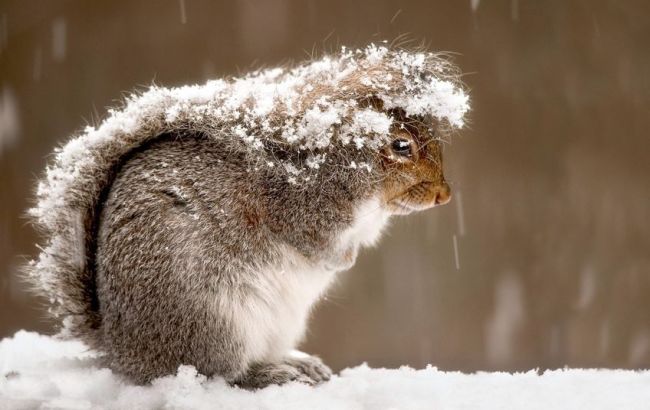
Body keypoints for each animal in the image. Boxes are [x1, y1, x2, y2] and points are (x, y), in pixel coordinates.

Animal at [25, 44, 468, 388]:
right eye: (401, 145)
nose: (445, 195)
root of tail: (123, 351)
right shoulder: (300, 210)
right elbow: (315, 244)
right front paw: (341, 261)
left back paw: (296, 362)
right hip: (214, 320)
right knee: (223, 372)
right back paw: (269, 374)